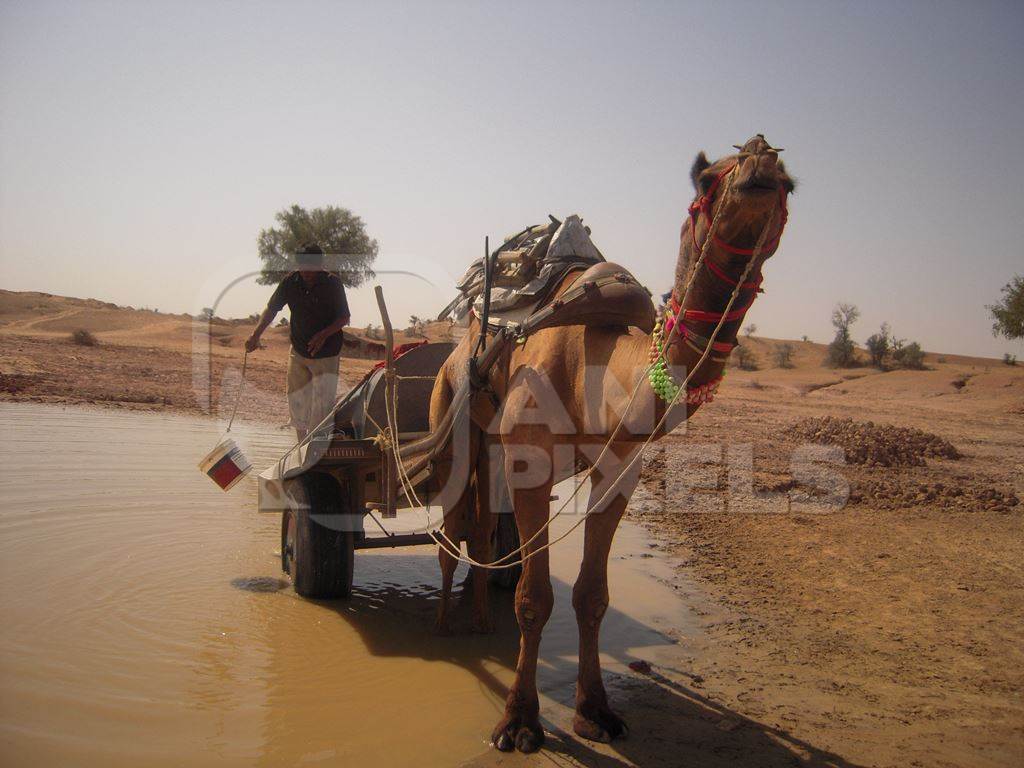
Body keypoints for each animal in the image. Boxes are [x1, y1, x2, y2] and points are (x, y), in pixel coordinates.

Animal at [428, 135, 794, 753]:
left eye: (789, 183)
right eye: (708, 180)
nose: (761, 161)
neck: (598, 366)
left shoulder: (619, 470)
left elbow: (591, 596)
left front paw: (595, 712)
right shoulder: (532, 459)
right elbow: (534, 598)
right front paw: (519, 723)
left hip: (494, 447)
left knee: (481, 526)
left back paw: (479, 620)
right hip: (452, 415)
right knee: (452, 530)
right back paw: (447, 627)